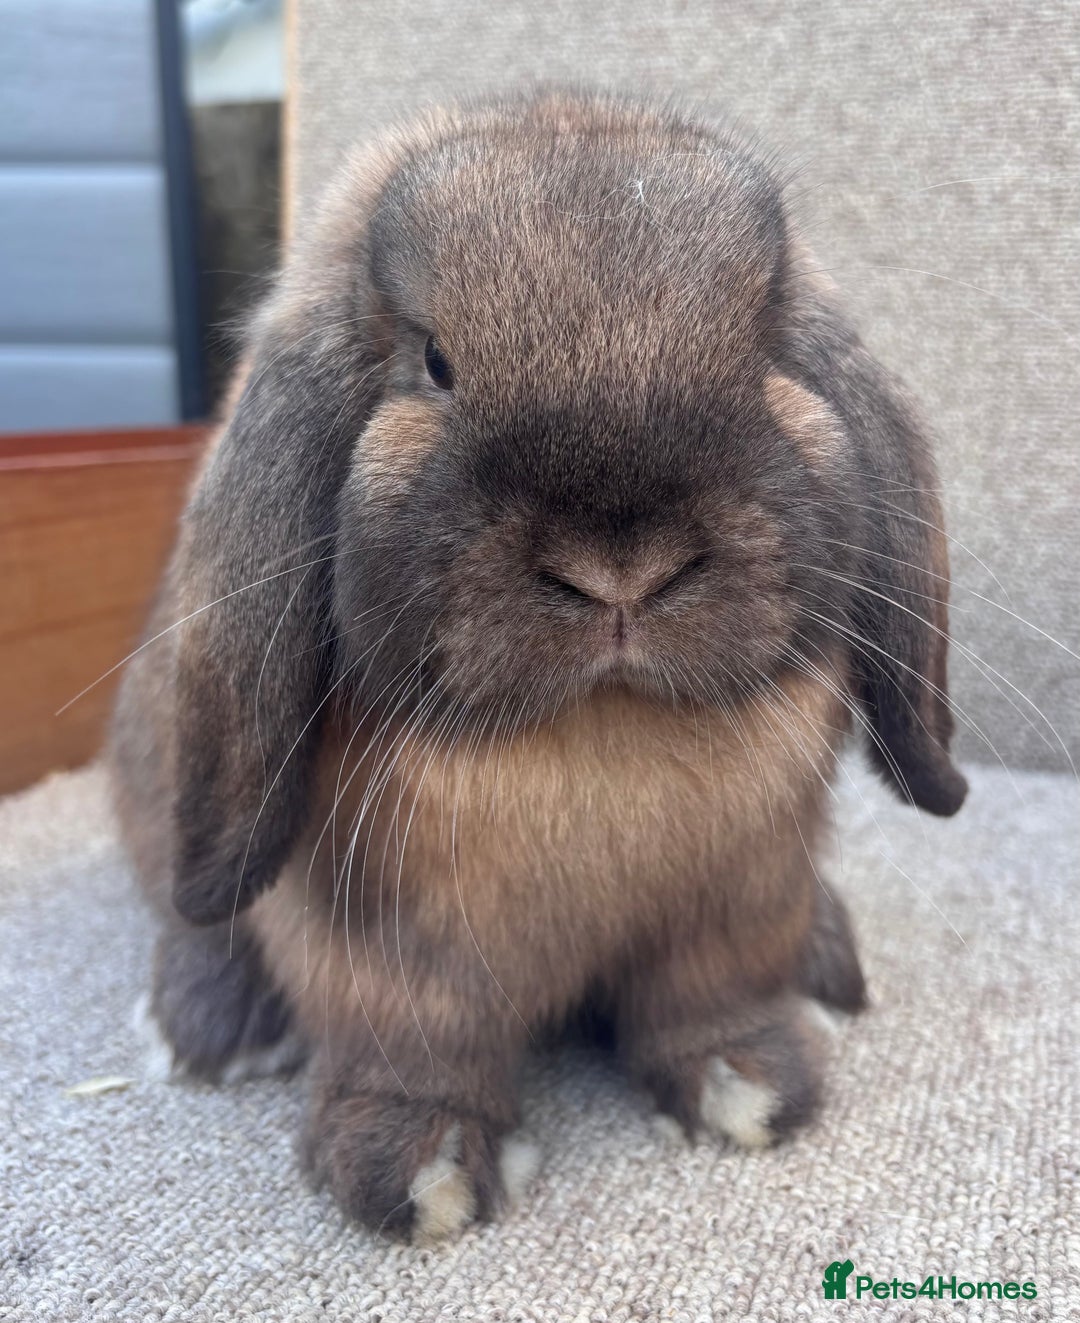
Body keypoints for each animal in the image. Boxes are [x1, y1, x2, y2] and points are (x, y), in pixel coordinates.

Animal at [109, 87, 967, 1240]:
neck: (600, 733)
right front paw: (422, 1173)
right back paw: (213, 1027)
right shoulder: (386, 958)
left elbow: (714, 998)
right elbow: (412, 1047)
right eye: (434, 363)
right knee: (187, 912)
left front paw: (754, 1085)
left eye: (761, 346)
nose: (620, 568)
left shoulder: (738, 903)